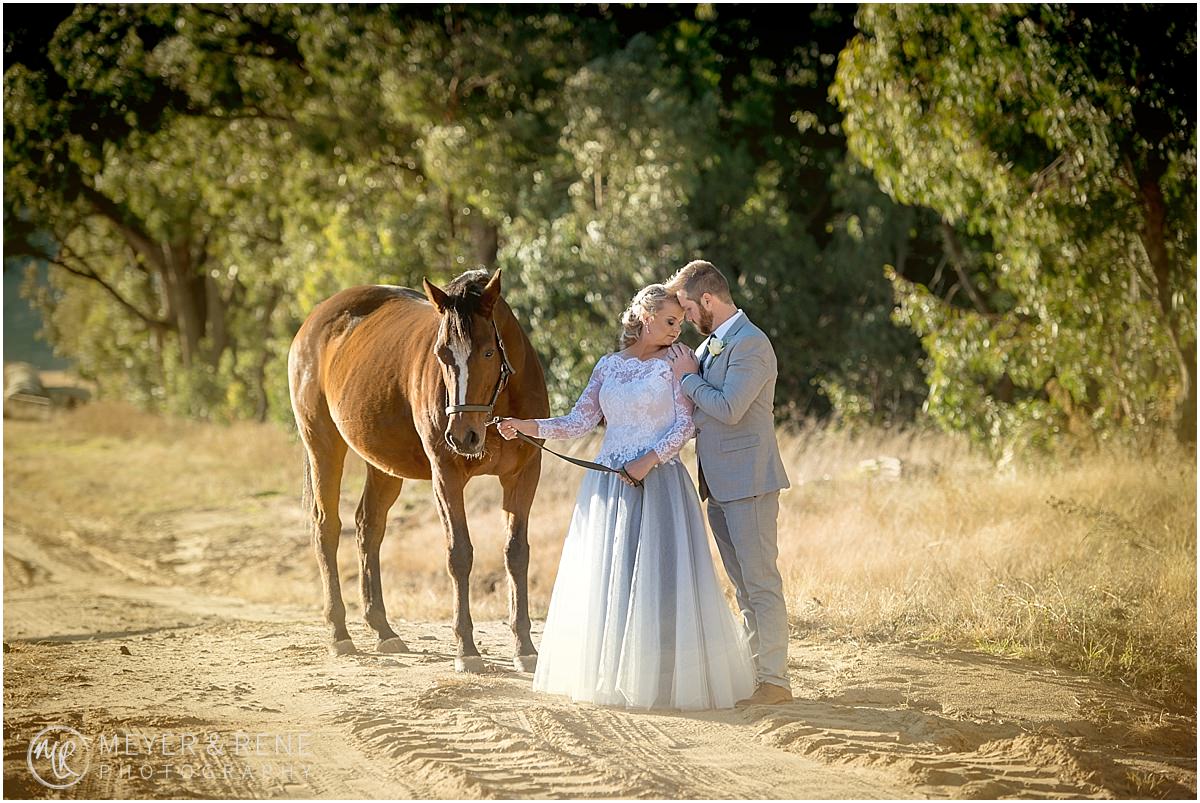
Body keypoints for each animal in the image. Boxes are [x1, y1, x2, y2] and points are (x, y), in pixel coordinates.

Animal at [288, 268, 549, 672]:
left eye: (489, 351)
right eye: (441, 354)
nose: (462, 436)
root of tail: (316, 318)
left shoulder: (523, 476)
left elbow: (516, 554)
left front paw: (525, 648)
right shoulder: (446, 476)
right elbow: (459, 554)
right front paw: (466, 649)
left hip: (383, 466)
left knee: (368, 527)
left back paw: (383, 630)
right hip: (323, 445)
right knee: (326, 528)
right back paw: (339, 634)